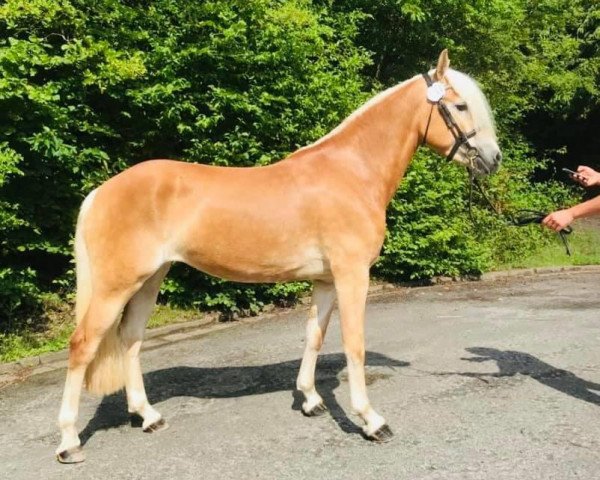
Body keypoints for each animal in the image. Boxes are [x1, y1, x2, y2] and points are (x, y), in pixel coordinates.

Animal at [55, 50, 502, 464]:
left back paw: (148, 416)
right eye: (460, 105)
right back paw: (69, 442)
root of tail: (100, 193)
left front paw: (310, 400)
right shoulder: (352, 275)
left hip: (150, 278)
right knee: (82, 346)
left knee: (130, 339)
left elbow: (314, 335)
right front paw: (371, 421)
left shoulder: (325, 280)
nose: (493, 158)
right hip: (116, 285)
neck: (352, 173)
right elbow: (354, 343)